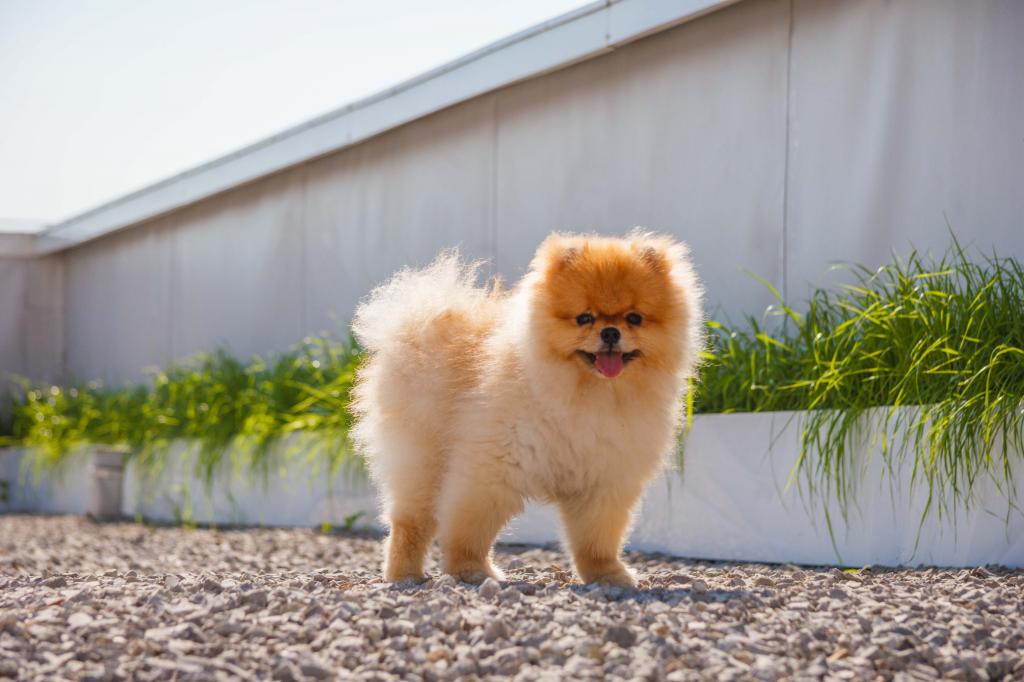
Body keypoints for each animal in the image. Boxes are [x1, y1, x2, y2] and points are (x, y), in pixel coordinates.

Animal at [352, 229, 704, 585]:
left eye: (634, 318)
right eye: (584, 318)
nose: (610, 332)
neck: (588, 396)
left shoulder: (605, 480)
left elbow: (596, 539)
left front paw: (606, 574)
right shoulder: (491, 468)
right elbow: (469, 528)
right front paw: (470, 569)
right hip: (422, 460)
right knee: (410, 522)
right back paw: (404, 574)